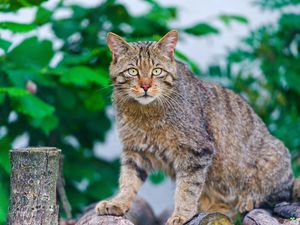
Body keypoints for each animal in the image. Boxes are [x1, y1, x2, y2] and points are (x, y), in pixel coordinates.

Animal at [95, 30, 296, 225]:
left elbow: (187, 188)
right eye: (133, 71)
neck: (145, 113)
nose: (145, 86)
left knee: (277, 195)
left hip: (275, 156)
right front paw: (118, 202)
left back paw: (250, 199)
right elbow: (128, 181)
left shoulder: (196, 150)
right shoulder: (135, 150)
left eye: (157, 71)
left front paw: (182, 214)